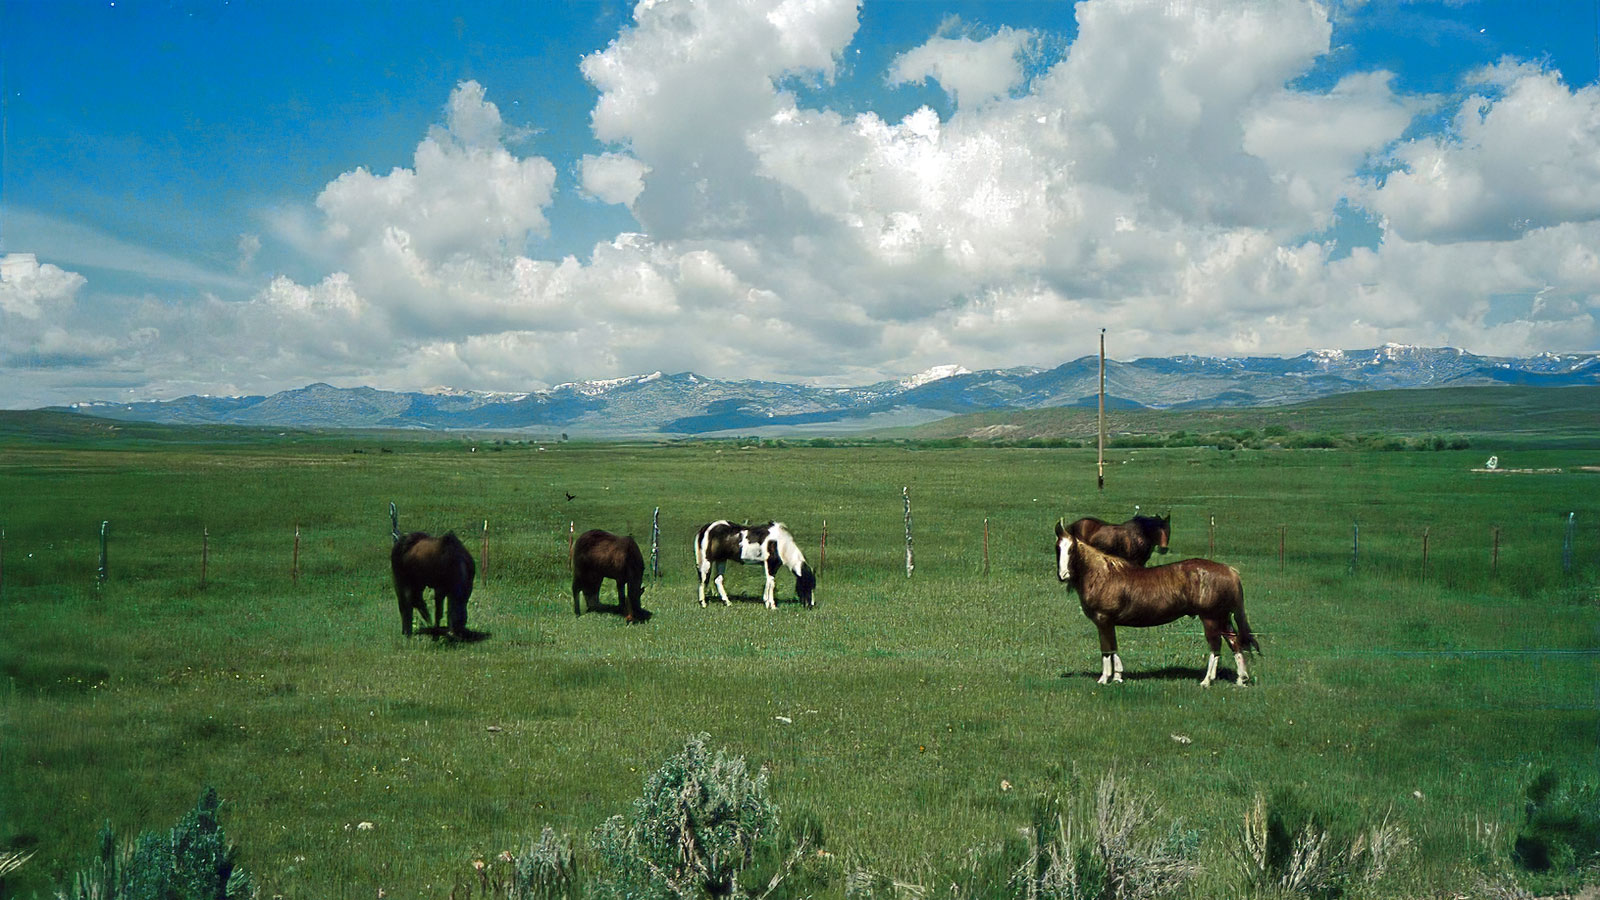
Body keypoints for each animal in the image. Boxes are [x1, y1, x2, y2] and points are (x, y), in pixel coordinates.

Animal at [1055, 518, 1257, 686]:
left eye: (1072, 549)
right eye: (1058, 548)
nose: (1063, 576)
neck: (1102, 575)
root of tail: (1229, 571)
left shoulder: (1103, 620)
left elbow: (1106, 650)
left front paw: (1104, 679)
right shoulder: (1109, 623)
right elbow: (1114, 647)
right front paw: (1118, 676)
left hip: (1210, 619)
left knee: (1216, 647)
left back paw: (1207, 681)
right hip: (1223, 618)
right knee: (1234, 642)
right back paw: (1241, 679)